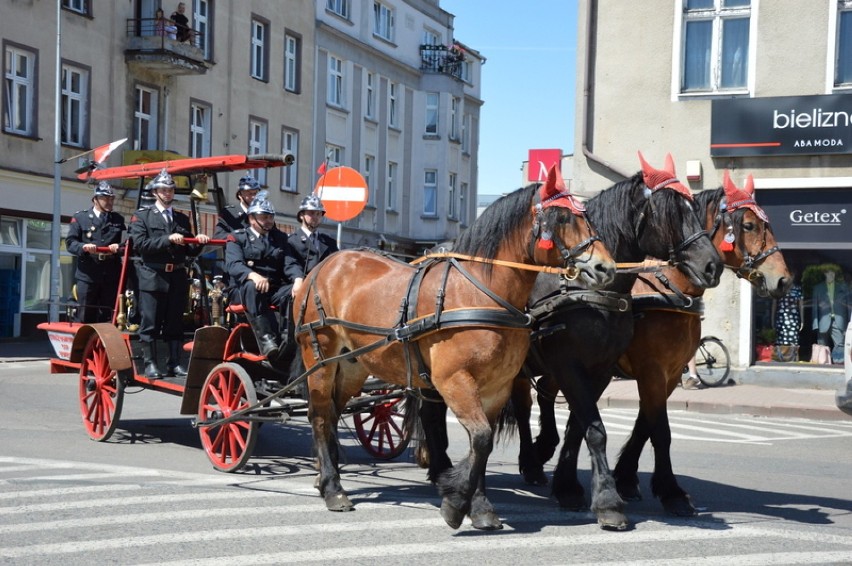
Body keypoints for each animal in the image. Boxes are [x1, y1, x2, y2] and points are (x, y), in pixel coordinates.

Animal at [294, 168, 620, 532]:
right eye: (562, 217)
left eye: (585, 216)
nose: (606, 268)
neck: (479, 293)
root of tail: (326, 265)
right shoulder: (455, 380)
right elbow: (480, 438)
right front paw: (456, 501)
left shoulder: (496, 388)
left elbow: (484, 444)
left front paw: (478, 506)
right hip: (320, 356)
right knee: (319, 415)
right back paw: (333, 489)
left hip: (352, 365)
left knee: (332, 414)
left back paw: (326, 475)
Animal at [416, 153, 724, 532]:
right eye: (670, 213)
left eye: (694, 209)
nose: (711, 265)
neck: (591, 295)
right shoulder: (573, 365)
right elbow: (598, 428)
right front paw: (609, 501)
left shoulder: (604, 369)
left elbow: (584, 425)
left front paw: (572, 487)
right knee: (432, 412)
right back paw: (442, 469)